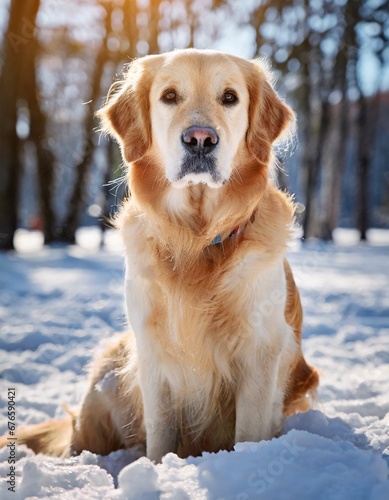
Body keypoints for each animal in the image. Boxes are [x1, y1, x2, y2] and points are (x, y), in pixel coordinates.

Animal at [1, 48, 318, 462]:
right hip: (108, 381)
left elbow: (249, 432)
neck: (198, 241)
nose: (200, 139)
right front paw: (157, 467)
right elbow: (161, 435)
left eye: (229, 97)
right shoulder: (154, 354)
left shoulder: (260, 351)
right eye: (169, 96)